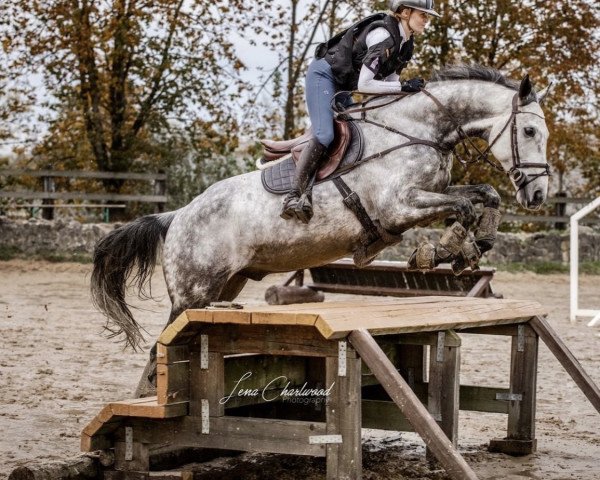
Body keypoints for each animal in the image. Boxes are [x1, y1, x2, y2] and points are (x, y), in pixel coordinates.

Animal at [91, 64, 552, 394]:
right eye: (529, 130)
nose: (538, 195)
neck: (418, 131)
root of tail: (177, 215)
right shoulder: (399, 206)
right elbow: (462, 206)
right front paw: (448, 250)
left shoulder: (429, 194)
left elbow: (483, 195)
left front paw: (476, 243)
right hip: (192, 292)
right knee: (162, 346)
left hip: (221, 289)